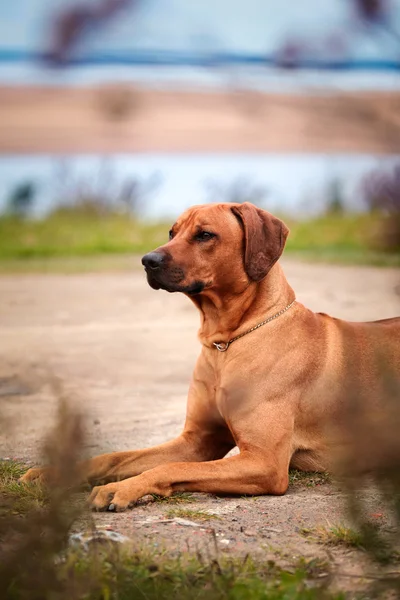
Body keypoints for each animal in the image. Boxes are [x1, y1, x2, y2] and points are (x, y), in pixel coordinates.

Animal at [22, 203, 400, 510]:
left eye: (205, 235)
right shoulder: (196, 441)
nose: (147, 260)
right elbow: (116, 457)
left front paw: (124, 488)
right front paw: (55, 473)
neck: (228, 342)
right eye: (172, 232)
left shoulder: (264, 462)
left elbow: (171, 466)